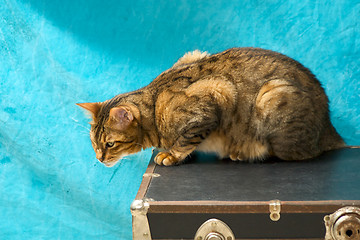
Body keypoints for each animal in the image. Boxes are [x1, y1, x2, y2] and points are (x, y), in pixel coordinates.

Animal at [77, 47, 344, 167]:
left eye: (110, 144)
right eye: (93, 143)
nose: (99, 158)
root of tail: (330, 128)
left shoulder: (216, 94)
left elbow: (185, 141)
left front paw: (171, 154)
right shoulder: (192, 55)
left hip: (271, 96)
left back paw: (243, 153)